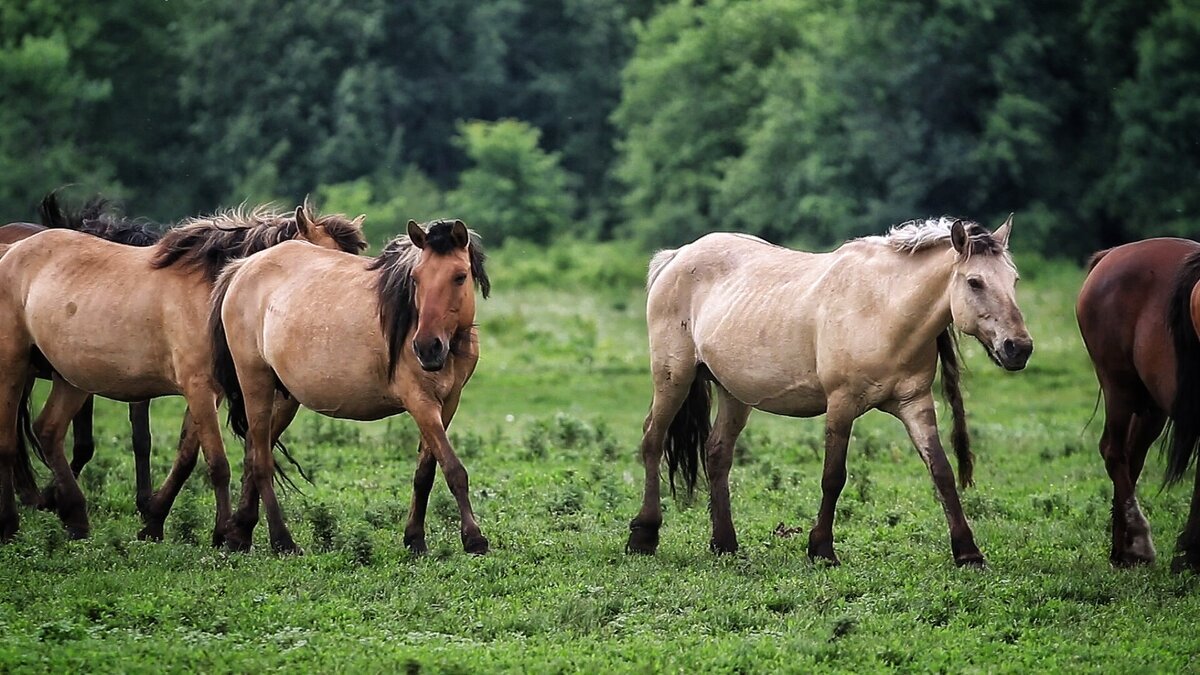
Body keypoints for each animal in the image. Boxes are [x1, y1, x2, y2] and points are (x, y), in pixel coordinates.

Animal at [0, 199, 364, 540]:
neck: (217, 290)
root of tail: (11, 252)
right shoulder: (199, 387)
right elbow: (217, 463)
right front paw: (222, 533)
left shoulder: (209, 394)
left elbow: (187, 457)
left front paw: (155, 523)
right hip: (15, 367)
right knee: (9, 441)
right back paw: (13, 524)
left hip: (72, 376)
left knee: (48, 431)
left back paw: (74, 517)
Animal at [211, 219, 487, 552]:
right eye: (416, 278)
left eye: (459, 277)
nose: (426, 348)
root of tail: (242, 268)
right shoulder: (420, 402)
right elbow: (454, 469)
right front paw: (474, 538)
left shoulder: (448, 403)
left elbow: (426, 472)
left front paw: (415, 539)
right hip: (256, 382)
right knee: (262, 461)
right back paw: (282, 541)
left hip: (284, 398)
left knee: (254, 452)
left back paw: (239, 533)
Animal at [628, 213, 1032, 562]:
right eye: (975, 282)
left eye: (1013, 280)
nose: (1019, 348)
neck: (883, 309)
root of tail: (677, 256)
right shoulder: (841, 403)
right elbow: (833, 477)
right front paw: (821, 548)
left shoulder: (915, 404)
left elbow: (942, 472)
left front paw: (968, 552)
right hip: (673, 376)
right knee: (652, 440)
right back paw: (644, 535)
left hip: (735, 393)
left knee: (717, 454)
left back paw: (724, 543)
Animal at [1075, 237, 1200, 566]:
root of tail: (1112, 253)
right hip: (1118, 387)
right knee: (1113, 452)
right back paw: (1138, 542)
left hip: (1150, 405)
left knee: (1132, 457)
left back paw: (1123, 548)